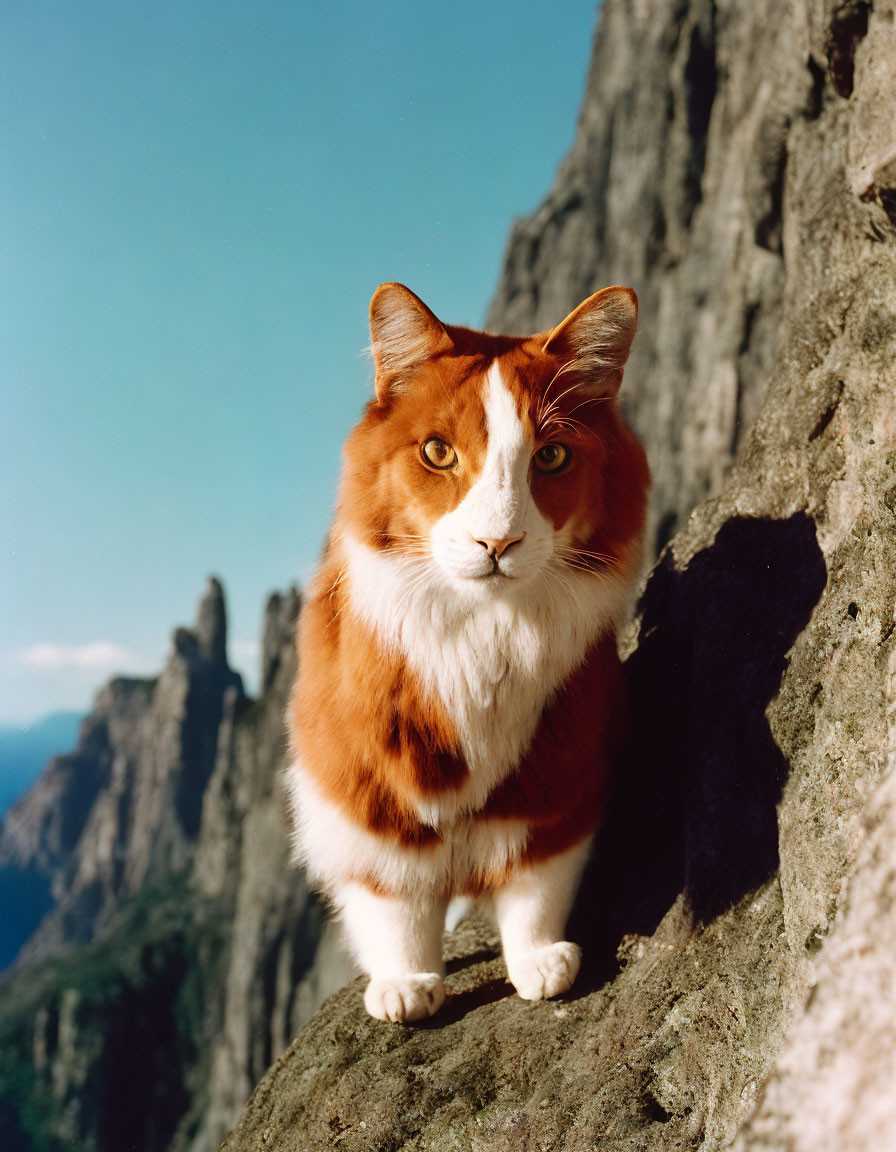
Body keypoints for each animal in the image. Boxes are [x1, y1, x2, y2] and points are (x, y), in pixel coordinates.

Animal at [290, 283, 644, 1022]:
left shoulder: (559, 767)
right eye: (436, 452)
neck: (484, 631)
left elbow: (536, 881)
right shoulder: (361, 784)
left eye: (552, 458)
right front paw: (407, 984)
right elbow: (394, 898)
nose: (497, 542)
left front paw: (540, 960)